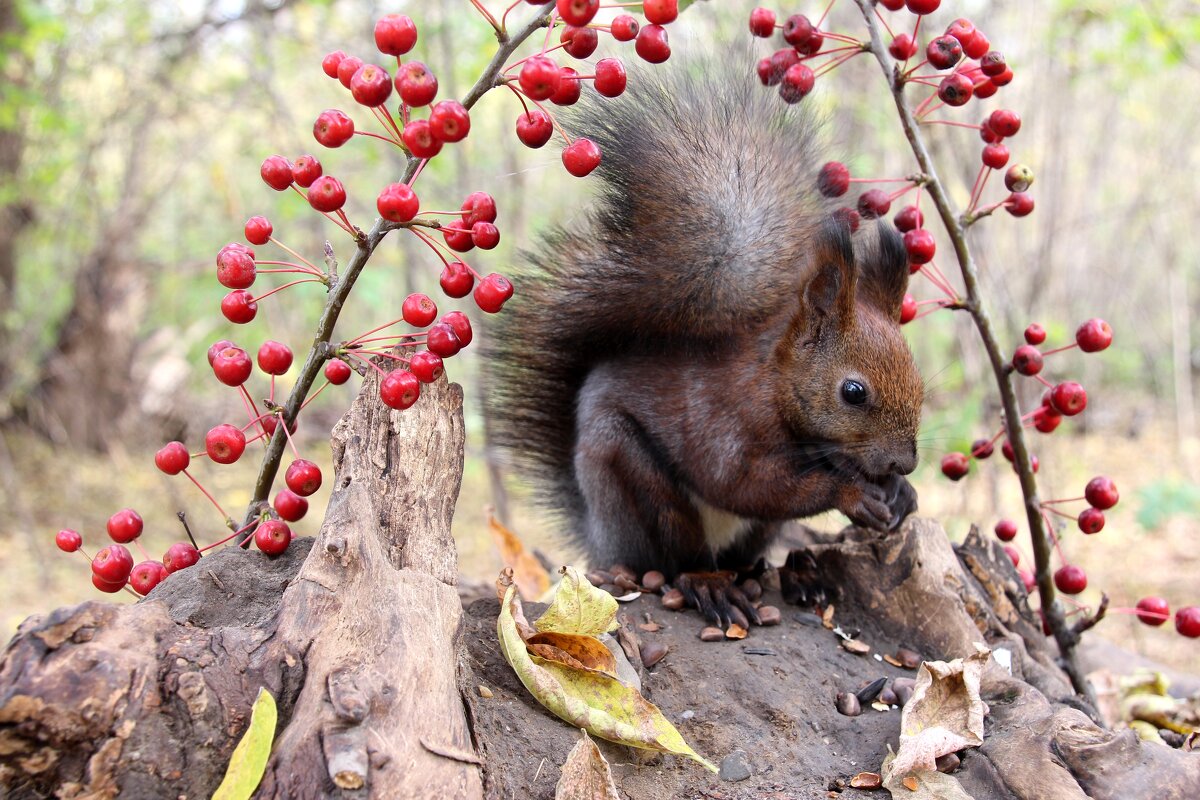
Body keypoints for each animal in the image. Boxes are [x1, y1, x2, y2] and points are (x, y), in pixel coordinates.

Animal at [482, 64, 921, 623]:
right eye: (853, 392)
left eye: (919, 380)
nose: (904, 463)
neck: (775, 384)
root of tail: (601, 540)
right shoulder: (725, 419)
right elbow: (745, 484)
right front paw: (851, 492)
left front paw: (902, 494)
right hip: (635, 483)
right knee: (676, 560)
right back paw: (709, 584)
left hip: (747, 533)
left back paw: (790, 575)